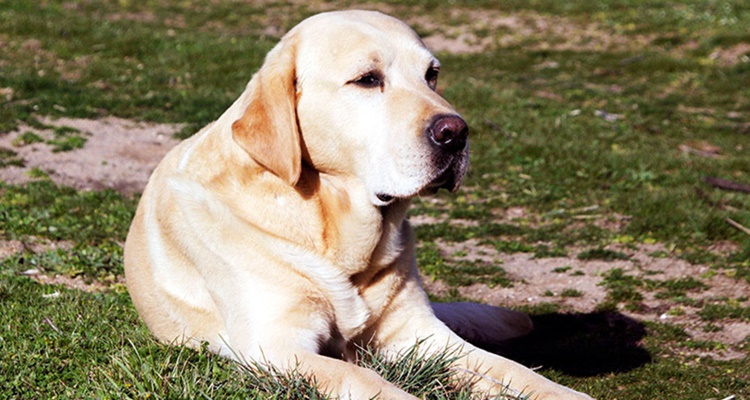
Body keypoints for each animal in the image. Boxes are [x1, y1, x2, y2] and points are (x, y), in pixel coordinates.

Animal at [123, 9, 592, 400]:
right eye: (368, 79)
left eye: (432, 75)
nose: (456, 132)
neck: (333, 228)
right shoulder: (275, 345)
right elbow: (362, 378)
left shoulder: (420, 332)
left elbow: (511, 369)